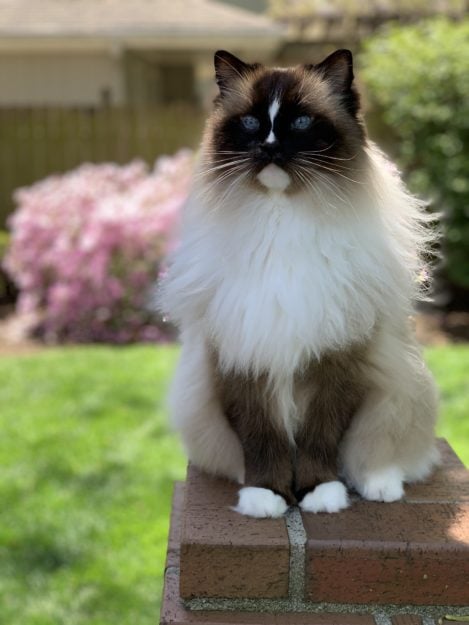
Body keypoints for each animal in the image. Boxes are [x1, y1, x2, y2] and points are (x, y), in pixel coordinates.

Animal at [158, 47, 438, 516]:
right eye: (251, 123)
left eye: (302, 122)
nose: (269, 147)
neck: (281, 219)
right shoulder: (244, 358)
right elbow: (261, 439)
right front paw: (267, 497)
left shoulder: (335, 359)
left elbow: (318, 439)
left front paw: (319, 495)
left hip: (398, 392)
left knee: (386, 456)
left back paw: (380, 487)